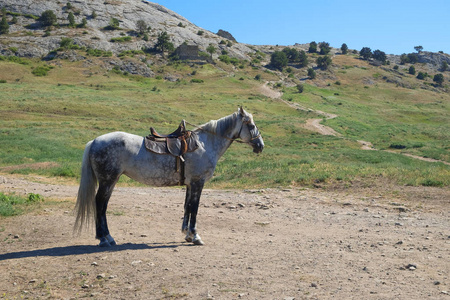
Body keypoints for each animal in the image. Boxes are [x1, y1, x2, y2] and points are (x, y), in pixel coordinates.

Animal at [74, 108, 264, 246]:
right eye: (250, 124)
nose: (260, 145)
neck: (204, 144)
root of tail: (95, 141)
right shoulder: (198, 183)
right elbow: (194, 208)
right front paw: (195, 236)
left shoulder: (190, 184)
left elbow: (187, 207)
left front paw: (187, 234)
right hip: (108, 180)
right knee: (100, 204)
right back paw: (104, 238)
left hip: (110, 181)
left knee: (103, 205)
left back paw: (107, 237)